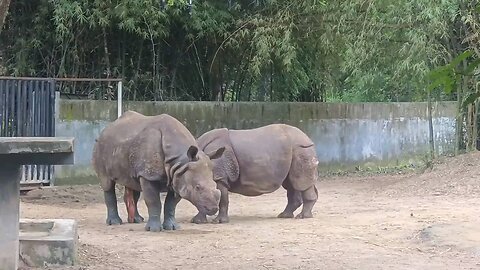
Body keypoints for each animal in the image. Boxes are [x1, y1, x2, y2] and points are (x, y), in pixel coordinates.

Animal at [93, 110, 225, 231]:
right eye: (197, 187)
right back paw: (114, 223)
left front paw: (172, 227)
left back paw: (137, 220)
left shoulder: (178, 174)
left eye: (215, 184)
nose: (213, 209)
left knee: (133, 184)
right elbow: (153, 201)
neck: (180, 160)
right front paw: (154, 229)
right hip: (101, 147)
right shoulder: (148, 175)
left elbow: (171, 204)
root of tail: (107, 128)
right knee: (107, 183)